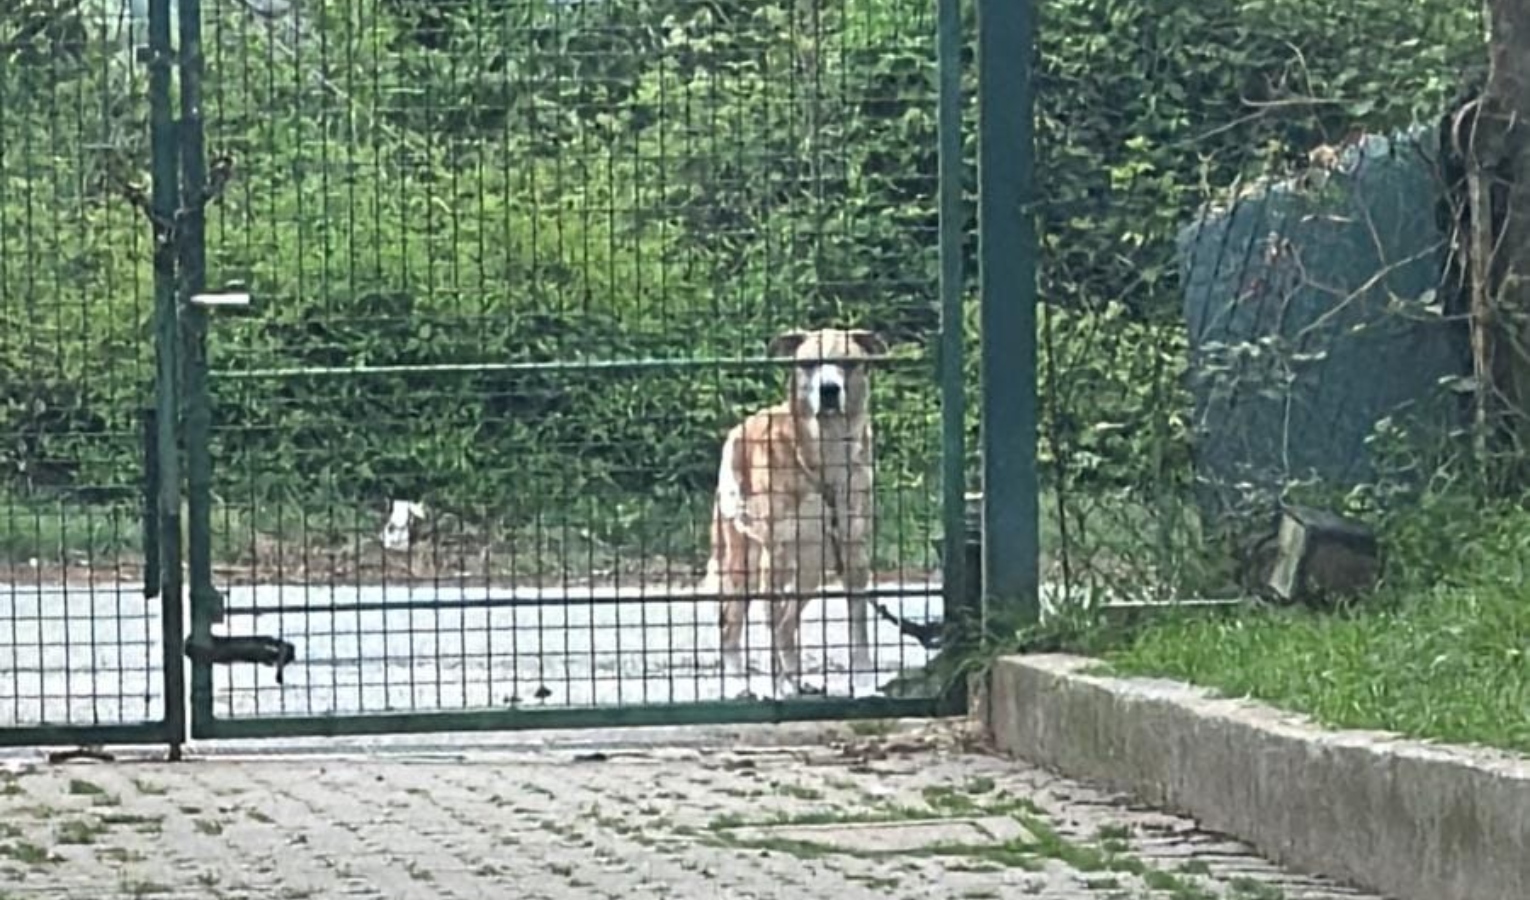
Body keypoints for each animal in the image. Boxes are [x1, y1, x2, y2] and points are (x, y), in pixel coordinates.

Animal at [697, 327, 887, 701]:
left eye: (848, 363)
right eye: (809, 364)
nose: (829, 391)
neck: (825, 452)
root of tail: (741, 426)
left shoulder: (853, 552)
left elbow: (859, 630)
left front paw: (864, 687)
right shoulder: (775, 554)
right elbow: (766, 626)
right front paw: (773, 687)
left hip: (812, 567)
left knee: (786, 624)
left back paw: (795, 680)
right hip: (743, 562)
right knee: (733, 624)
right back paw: (740, 683)